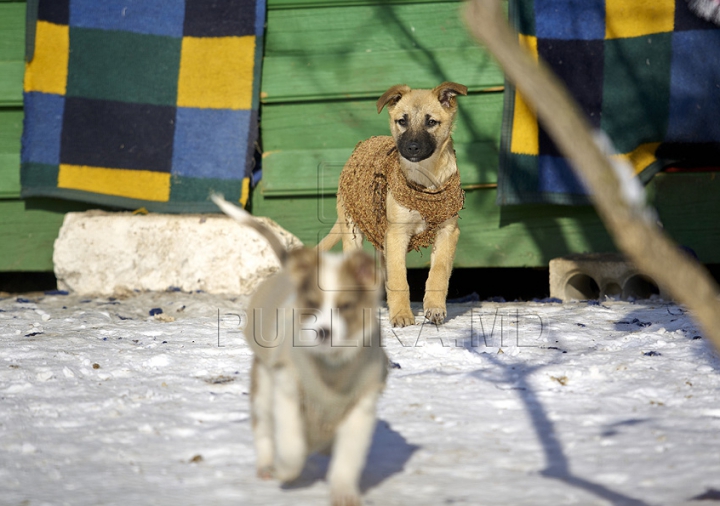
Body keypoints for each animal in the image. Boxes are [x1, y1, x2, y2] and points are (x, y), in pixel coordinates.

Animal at [211, 195, 388, 506]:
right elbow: (291, 443)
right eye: (312, 304)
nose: (323, 332)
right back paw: (268, 465)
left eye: (345, 306)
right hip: (264, 388)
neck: (331, 367)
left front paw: (344, 492)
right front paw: (285, 470)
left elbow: (349, 456)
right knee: (264, 429)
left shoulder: (361, 405)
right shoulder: (287, 389)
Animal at [320, 82, 466, 328]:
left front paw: (435, 308)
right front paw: (401, 315)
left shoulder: (448, 231)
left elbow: (439, 271)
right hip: (353, 232)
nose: (412, 148)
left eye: (431, 122)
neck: (425, 179)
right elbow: (399, 278)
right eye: (402, 121)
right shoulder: (397, 233)